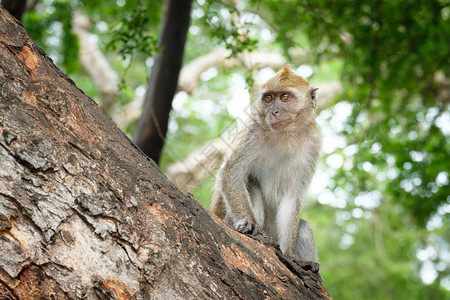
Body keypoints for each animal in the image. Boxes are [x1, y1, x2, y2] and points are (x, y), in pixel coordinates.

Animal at [211, 64, 320, 262]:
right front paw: (248, 222)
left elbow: (292, 196)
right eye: (268, 98)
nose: (273, 112)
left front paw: (289, 255)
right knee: (250, 182)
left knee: (305, 228)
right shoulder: (252, 131)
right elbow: (230, 172)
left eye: (284, 97)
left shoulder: (313, 144)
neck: (285, 135)